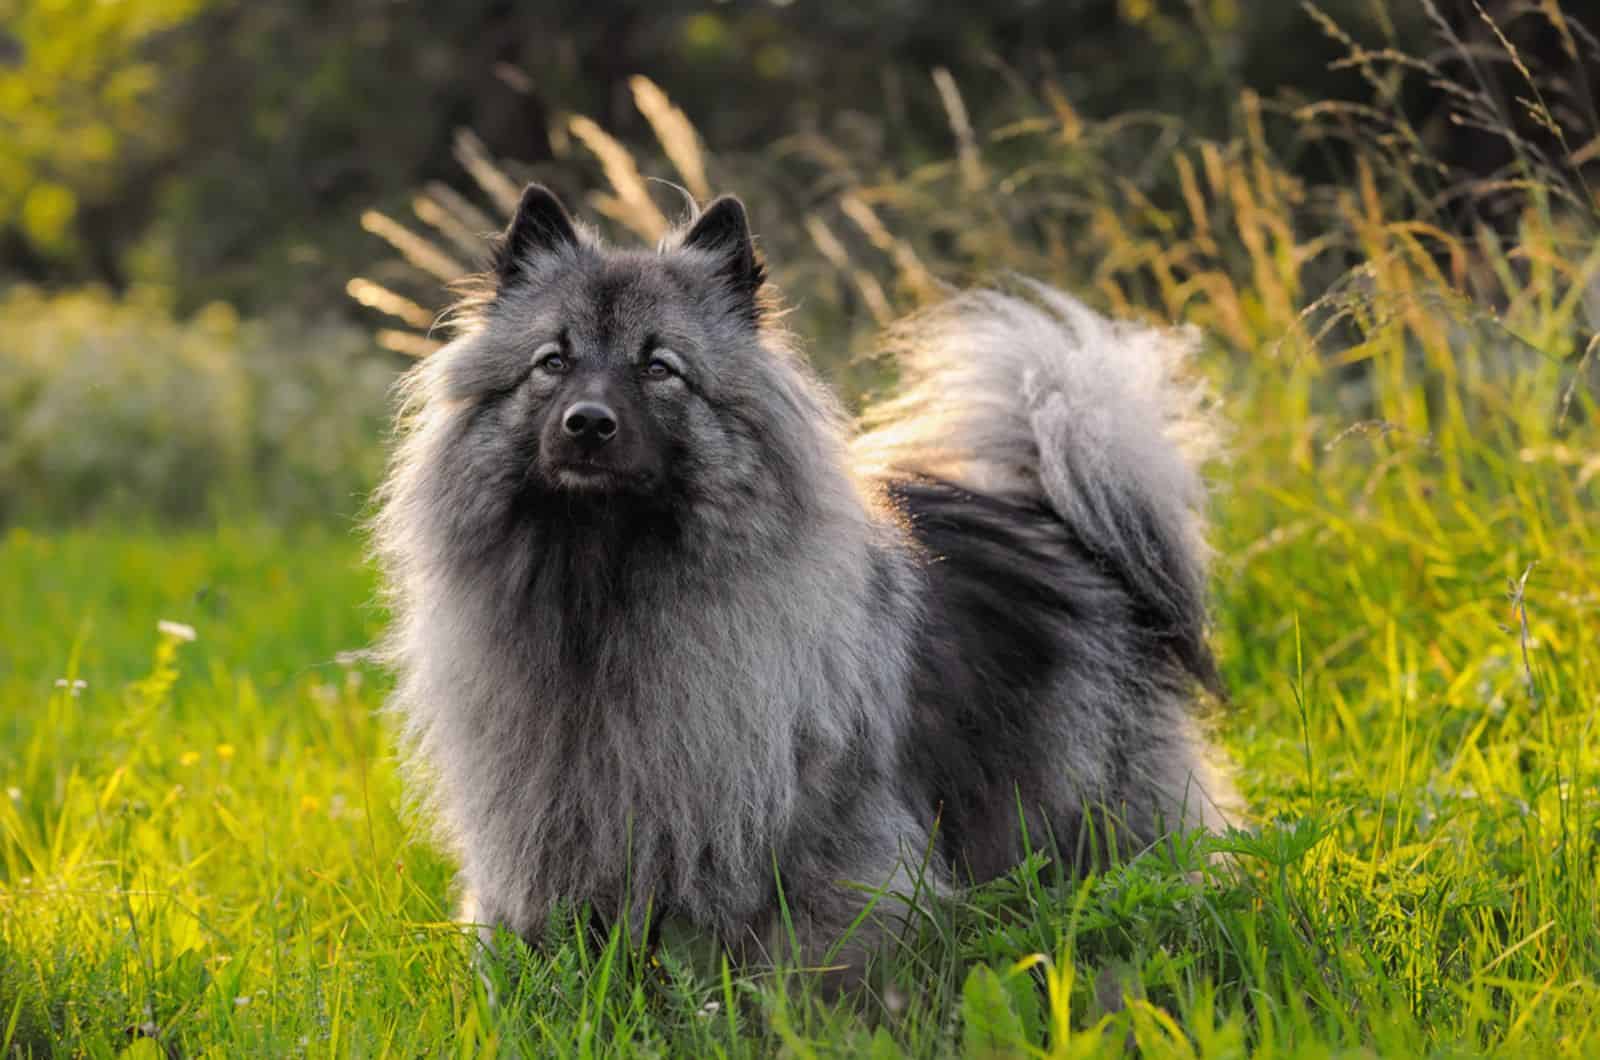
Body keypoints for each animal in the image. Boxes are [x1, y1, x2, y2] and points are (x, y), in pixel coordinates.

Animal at [377, 184, 1235, 986]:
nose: (587, 423)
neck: (603, 590)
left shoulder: (824, 843)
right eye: (552, 362)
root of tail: (1055, 518)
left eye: (658, 368)